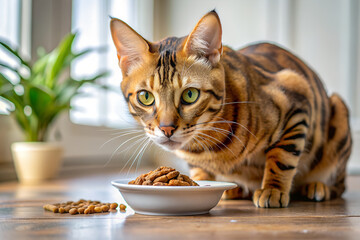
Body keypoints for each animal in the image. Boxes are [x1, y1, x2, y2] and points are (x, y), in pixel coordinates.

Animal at [109, 10, 352, 207]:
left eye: (190, 94)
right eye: (145, 97)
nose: (167, 129)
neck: (207, 149)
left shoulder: (296, 95)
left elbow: (282, 157)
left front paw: (272, 189)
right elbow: (199, 171)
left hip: (338, 117)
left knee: (340, 185)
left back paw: (317, 187)